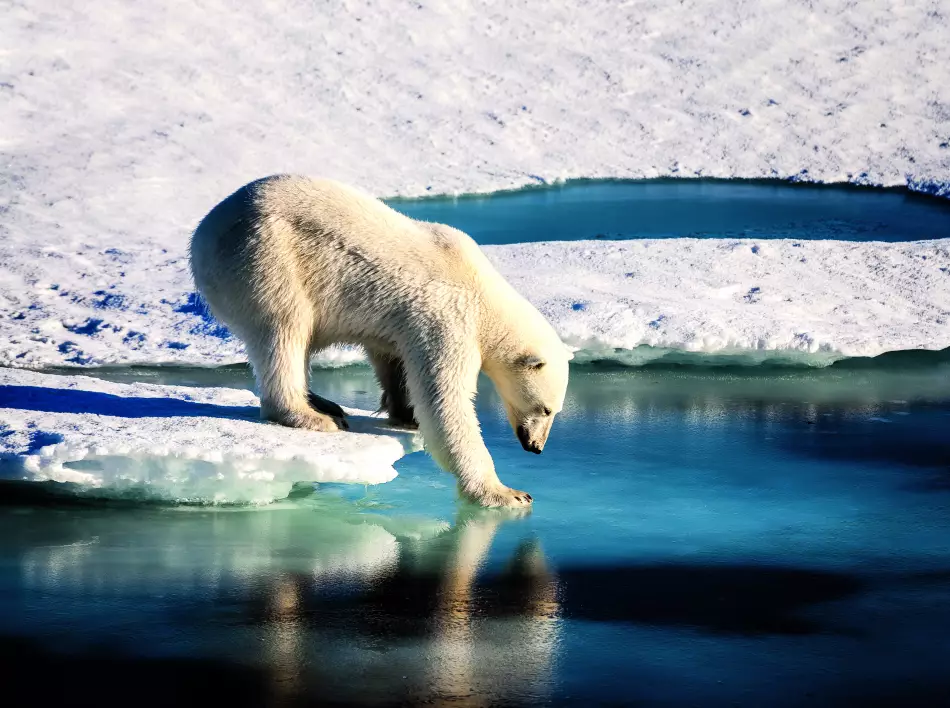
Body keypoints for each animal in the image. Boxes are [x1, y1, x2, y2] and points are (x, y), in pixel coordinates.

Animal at [190, 177, 568, 508]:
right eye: (546, 409)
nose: (536, 447)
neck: (484, 295)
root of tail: (202, 234)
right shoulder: (448, 319)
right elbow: (446, 402)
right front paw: (507, 493)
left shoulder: (404, 324)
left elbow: (394, 359)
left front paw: (405, 414)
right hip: (266, 258)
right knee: (284, 329)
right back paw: (311, 415)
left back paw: (324, 403)